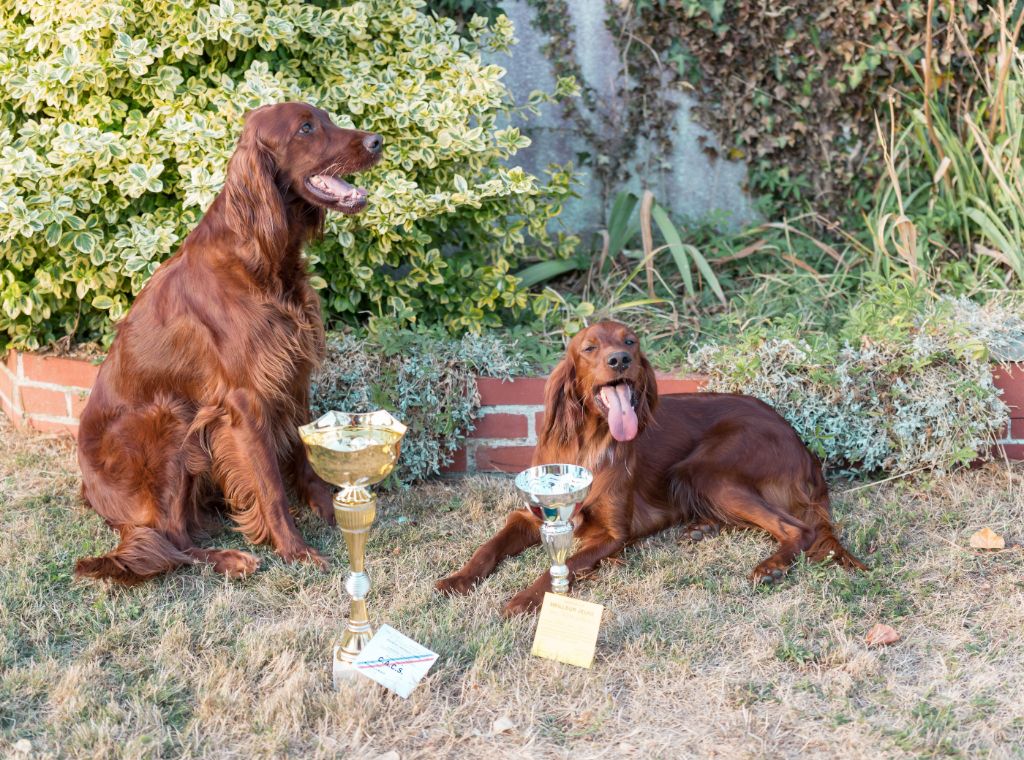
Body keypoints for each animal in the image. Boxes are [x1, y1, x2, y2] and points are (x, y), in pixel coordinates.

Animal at [74, 103, 382, 581]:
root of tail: (91, 490)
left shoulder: (292, 375)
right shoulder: (244, 399)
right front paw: (295, 549)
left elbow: (303, 453)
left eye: (328, 118)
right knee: (168, 541)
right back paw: (228, 558)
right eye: (306, 128)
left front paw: (332, 510)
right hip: (169, 418)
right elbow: (269, 484)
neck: (259, 257)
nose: (377, 142)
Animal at [434, 317, 864, 614]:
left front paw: (524, 599)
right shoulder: (534, 514)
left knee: (798, 528)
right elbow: (488, 547)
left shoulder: (612, 533)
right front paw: (456, 579)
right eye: (589, 348)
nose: (620, 359)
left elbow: (563, 564)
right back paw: (701, 528)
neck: (588, 443)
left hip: (704, 469)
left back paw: (771, 565)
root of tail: (800, 443)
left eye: (630, 341)